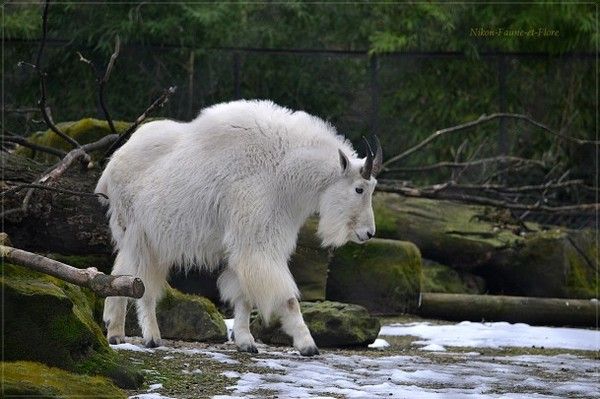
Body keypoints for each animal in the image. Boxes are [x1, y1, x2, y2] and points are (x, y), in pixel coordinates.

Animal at [96, 100, 382, 356]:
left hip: (147, 240)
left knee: (123, 274)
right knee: (142, 284)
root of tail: (111, 166)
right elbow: (286, 298)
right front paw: (307, 345)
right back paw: (151, 337)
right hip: (140, 234)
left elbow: (243, 295)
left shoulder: (248, 241)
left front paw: (246, 342)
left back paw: (116, 331)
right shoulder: (256, 240)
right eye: (359, 189)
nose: (368, 233)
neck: (282, 169)